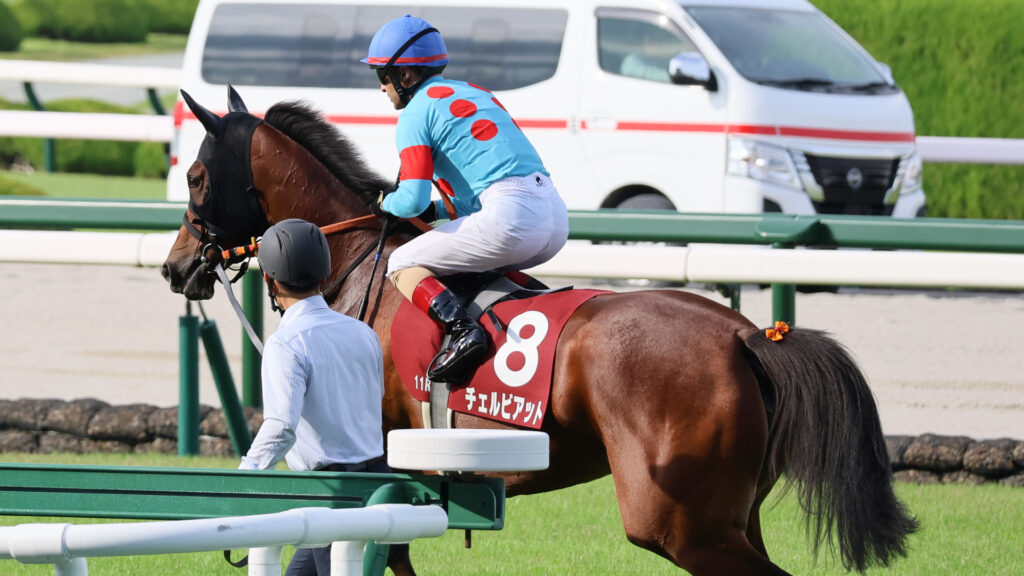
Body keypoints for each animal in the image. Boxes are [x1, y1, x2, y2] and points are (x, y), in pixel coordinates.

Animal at [161, 87, 916, 576]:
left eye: (196, 176)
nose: (176, 266)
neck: (348, 265)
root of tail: (746, 336)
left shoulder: (373, 463)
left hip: (680, 522)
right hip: (734, 512)